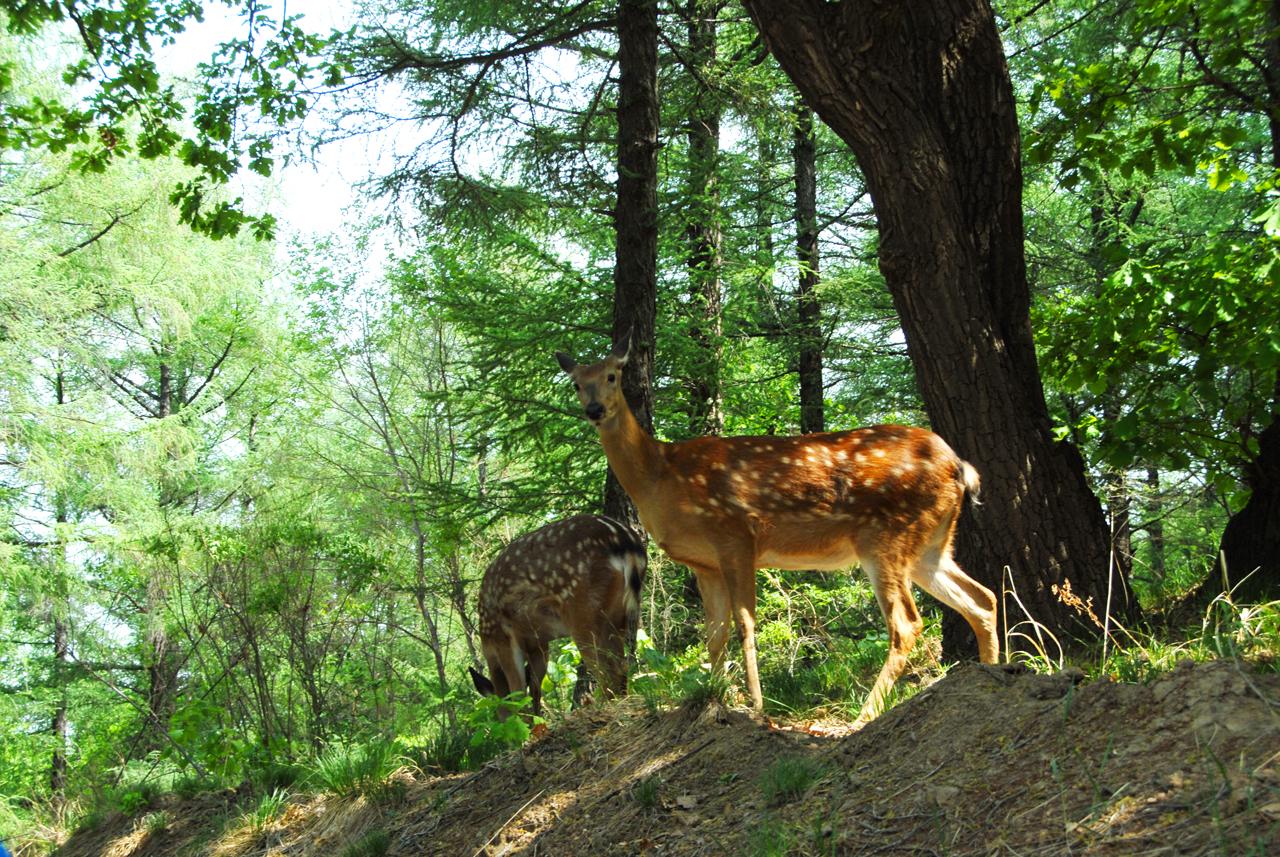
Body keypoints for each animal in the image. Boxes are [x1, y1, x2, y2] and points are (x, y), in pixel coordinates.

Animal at [468, 516, 645, 716]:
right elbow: (535, 688)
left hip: (582, 612)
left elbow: (518, 693)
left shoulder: (502, 637)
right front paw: (538, 719)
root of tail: (625, 541)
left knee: (608, 671)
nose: (503, 722)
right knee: (621, 666)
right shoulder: (539, 644)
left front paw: (525, 723)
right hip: (618, 614)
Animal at [558, 340, 998, 726]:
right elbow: (714, 634)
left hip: (886, 536)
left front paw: (756, 706)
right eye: (577, 383)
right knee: (982, 598)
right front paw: (712, 697)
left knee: (907, 624)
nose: (594, 409)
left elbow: (745, 626)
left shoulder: (735, 536)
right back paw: (994, 670)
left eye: (613, 375)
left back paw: (865, 714)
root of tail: (959, 465)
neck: (660, 475)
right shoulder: (704, 563)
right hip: (930, 544)